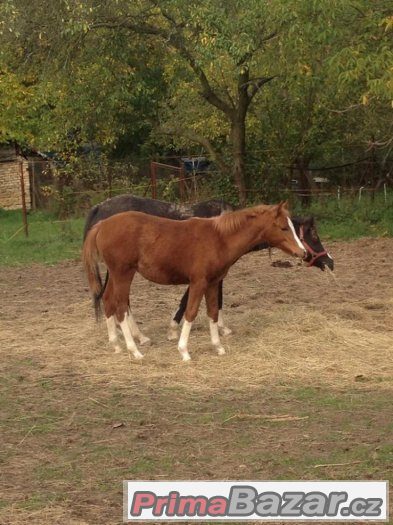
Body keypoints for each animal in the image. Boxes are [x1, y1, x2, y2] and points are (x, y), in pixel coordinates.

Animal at [84, 194, 332, 342]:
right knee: (119, 299)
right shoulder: (203, 275)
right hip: (121, 270)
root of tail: (99, 209)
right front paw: (177, 329)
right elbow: (198, 301)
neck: (221, 227)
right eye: (313, 234)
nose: (330, 262)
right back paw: (137, 336)